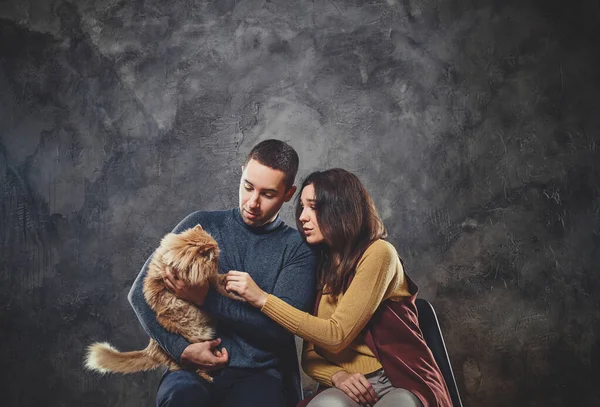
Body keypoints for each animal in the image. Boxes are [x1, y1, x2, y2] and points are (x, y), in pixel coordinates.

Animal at [84, 226, 234, 382]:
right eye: (214, 259)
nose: (217, 264)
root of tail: (152, 349)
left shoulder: (211, 280)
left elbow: (220, 281)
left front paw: (230, 280)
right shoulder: (206, 284)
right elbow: (220, 288)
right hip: (197, 342)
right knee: (195, 368)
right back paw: (209, 376)